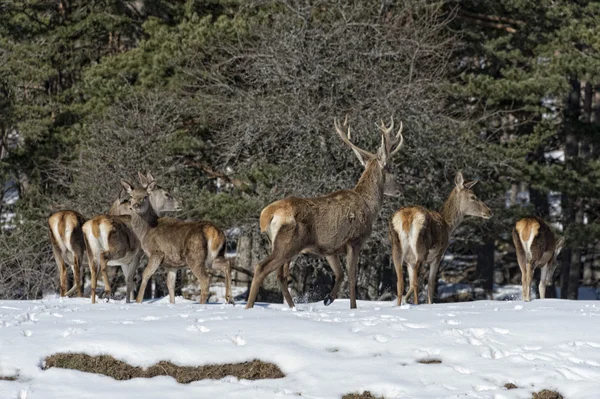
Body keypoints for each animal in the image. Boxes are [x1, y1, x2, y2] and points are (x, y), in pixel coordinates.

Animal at [82, 173, 180, 304]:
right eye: (166, 194)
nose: (179, 205)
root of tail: (95, 224)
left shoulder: (124, 261)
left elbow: (128, 280)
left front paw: (128, 301)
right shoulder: (137, 254)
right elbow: (130, 280)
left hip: (91, 253)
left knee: (93, 280)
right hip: (118, 248)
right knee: (104, 258)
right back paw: (108, 290)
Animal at [119, 178, 234, 306]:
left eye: (145, 196)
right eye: (131, 196)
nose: (136, 205)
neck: (145, 231)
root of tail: (214, 231)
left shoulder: (156, 252)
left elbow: (146, 275)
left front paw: (138, 302)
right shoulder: (172, 264)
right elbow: (170, 284)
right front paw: (172, 304)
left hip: (194, 255)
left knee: (205, 278)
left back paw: (203, 304)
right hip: (214, 257)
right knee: (227, 263)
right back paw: (230, 298)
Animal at [244, 115, 404, 310]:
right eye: (389, 168)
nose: (400, 189)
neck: (369, 207)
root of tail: (267, 215)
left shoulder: (330, 249)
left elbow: (340, 274)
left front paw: (329, 298)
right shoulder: (355, 239)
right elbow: (351, 277)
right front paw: (353, 307)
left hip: (280, 244)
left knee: (280, 276)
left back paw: (292, 307)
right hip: (287, 243)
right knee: (261, 267)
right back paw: (249, 307)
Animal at [390, 171, 492, 306]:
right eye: (473, 197)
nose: (489, 211)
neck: (448, 226)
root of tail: (407, 218)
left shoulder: (409, 261)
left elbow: (410, 283)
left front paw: (406, 300)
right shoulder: (438, 255)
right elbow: (431, 284)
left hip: (396, 249)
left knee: (401, 282)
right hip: (421, 250)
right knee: (417, 283)